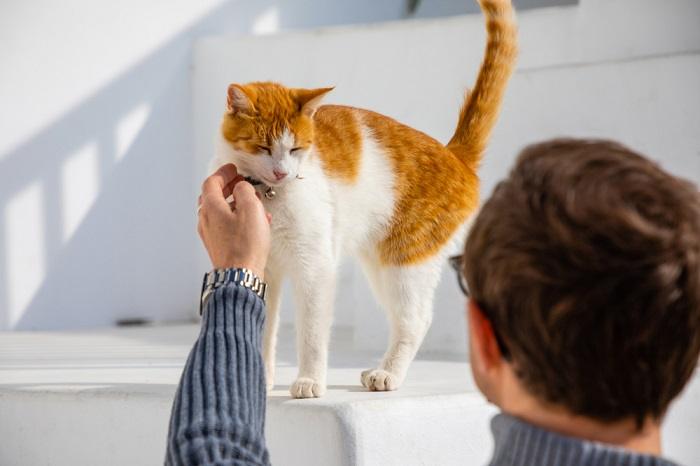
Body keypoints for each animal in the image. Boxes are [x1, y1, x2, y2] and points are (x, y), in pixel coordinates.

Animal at [211, 0, 516, 398]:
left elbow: (311, 333)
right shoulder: (263, 267)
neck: (270, 194)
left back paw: (388, 374)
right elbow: (261, 328)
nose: (281, 172)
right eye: (263, 148)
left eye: (295, 148)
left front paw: (310, 380)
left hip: (404, 264)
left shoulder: (315, 266)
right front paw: (258, 379)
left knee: (416, 319)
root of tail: (454, 155)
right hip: (380, 263)